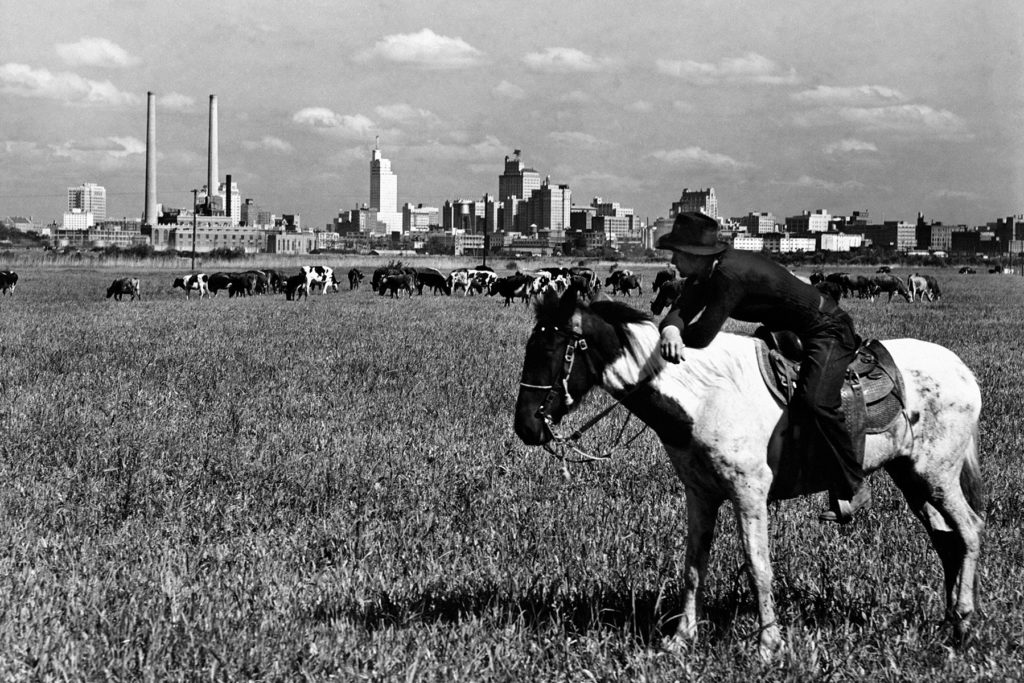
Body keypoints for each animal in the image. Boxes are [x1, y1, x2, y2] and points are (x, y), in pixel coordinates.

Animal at [516, 290, 987, 659]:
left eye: (552, 350)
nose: (525, 426)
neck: (703, 396)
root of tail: (963, 372)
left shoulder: (749, 493)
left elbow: (758, 566)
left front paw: (768, 645)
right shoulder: (700, 494)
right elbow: (693, 566)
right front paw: (681, 638)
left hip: (937, 475)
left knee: (968, 530)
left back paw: (964, 625)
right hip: (911, 476)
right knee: (945, 541)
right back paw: (948, 623)